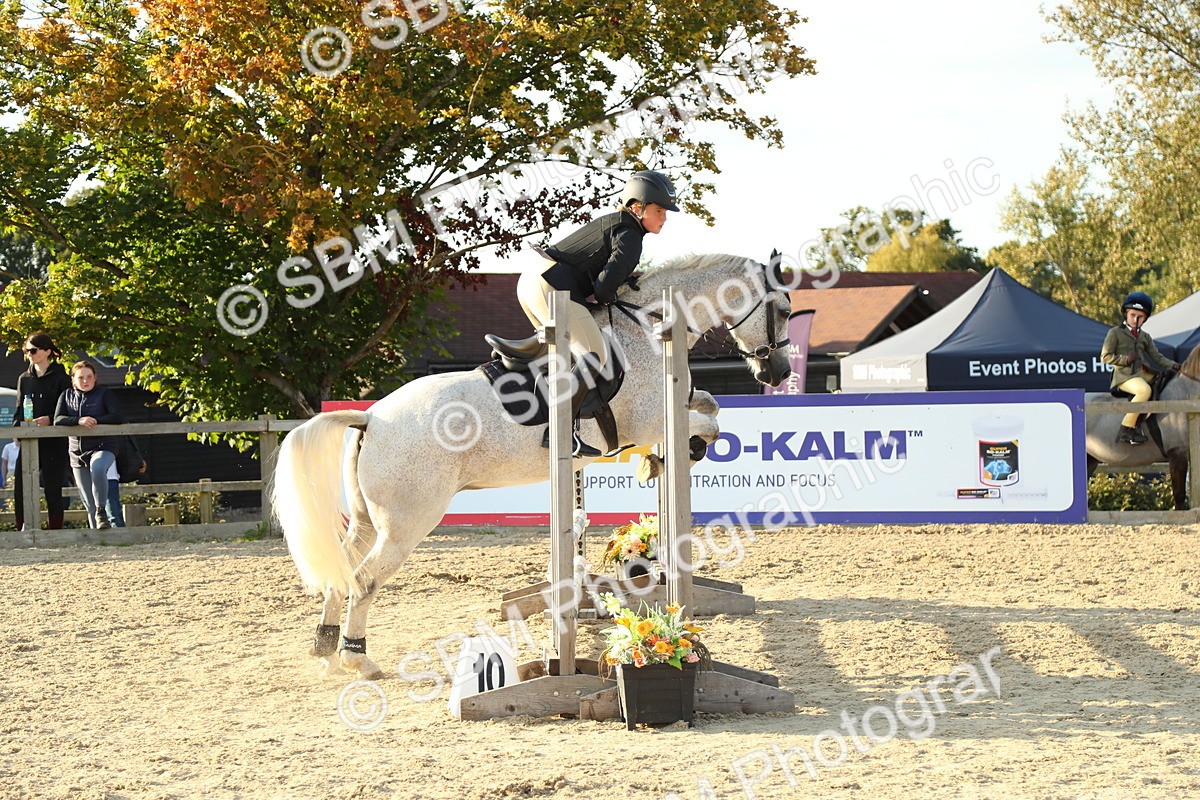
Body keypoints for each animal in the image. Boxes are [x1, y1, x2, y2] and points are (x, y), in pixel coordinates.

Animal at [272, 253, 793, 678]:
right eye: (786, 310)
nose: (780, 373)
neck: (647, 328)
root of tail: (371, 416)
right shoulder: (648, 417)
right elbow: (709, 421)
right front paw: (671, 455)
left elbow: (707, 404)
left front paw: (660, 460)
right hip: (406, 523)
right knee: (364, 579)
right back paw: (356, 659)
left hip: (364, 519)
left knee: (342, 570)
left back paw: (325, 649)